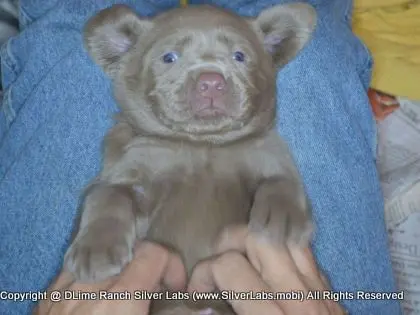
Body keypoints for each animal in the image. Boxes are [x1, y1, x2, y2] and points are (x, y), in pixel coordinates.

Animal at [64, 3, 316, 315]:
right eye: (169, 58)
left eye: (239, 56)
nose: (211, 82)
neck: (202, 145)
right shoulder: (127, 169)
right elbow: (107, 196)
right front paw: (96, 248)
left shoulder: (268, 153)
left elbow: (283, 182)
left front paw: (283, 218)